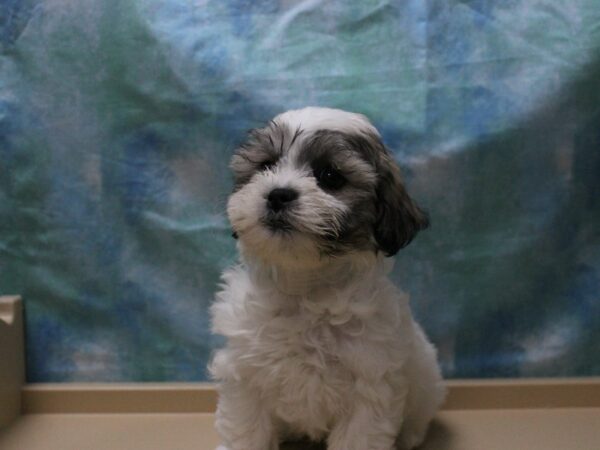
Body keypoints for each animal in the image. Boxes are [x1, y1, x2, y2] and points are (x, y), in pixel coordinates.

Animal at [211, 107, 446, 448]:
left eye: (331, 177)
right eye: (265, 165)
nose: (278, 194)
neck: (306, 288)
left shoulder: (370, 383)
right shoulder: (246, 374)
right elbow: (245, 429)